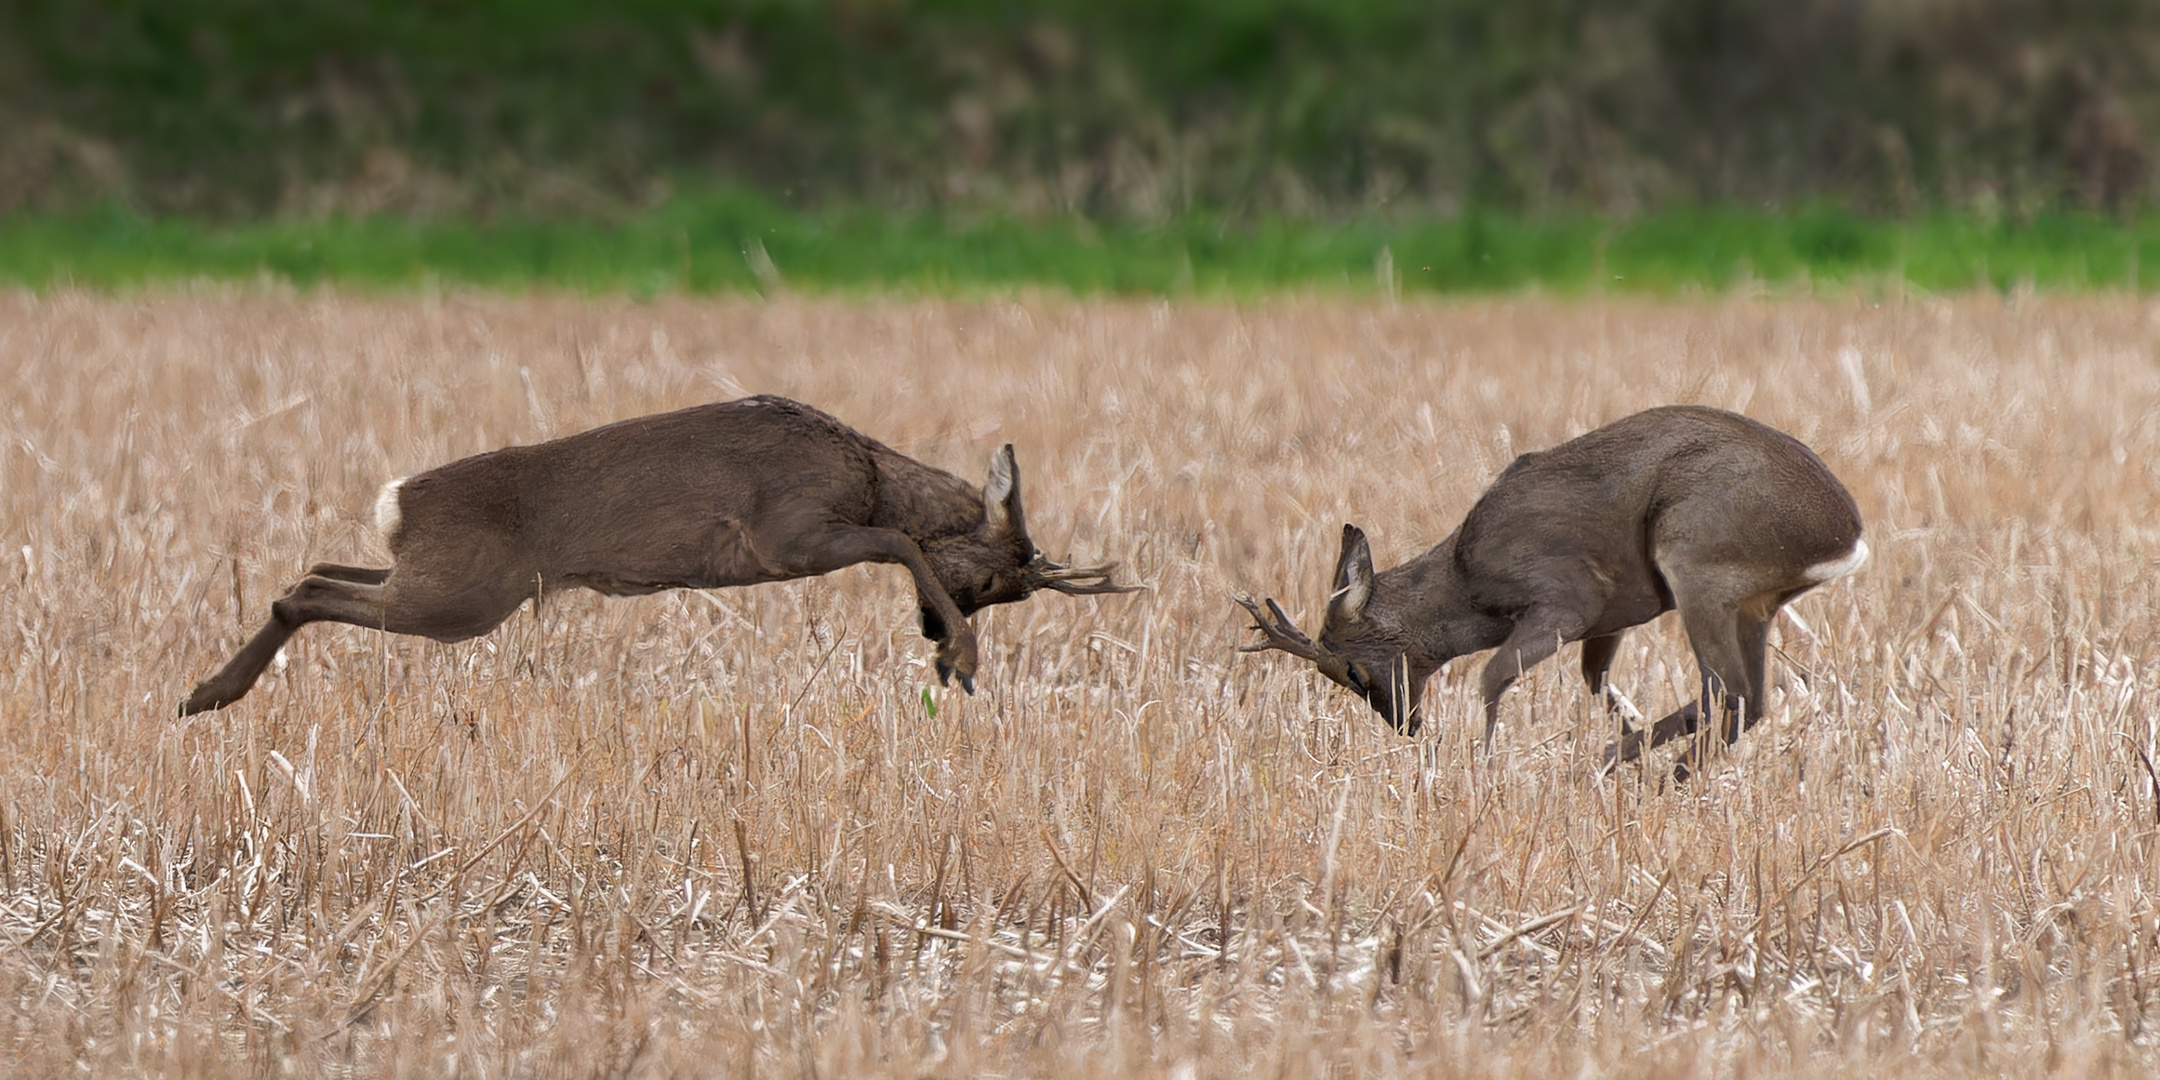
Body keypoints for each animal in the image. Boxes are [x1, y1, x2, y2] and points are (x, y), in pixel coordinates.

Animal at [181, 397, 1131, 717]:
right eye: (1000, 582)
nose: (937, 628)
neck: (865, 473)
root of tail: (398, 500)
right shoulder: (789, 532)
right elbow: (898, 541)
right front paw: (961, 663)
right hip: (462, 598)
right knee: (307, 587)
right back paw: (207, 695)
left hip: (446, 583)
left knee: (313, 572)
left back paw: (204, 693)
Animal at [1244, 406, 1866, 777]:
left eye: (1351, 671)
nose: (1407, 725)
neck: (1467, 587)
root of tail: (1847, 536)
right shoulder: (1615, 615)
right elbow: (1598, 683)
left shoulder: (1567, 597)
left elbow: (1492, 676)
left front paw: (1483, 770)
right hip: (1754, 603)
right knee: (1752, 699)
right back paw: (1640, 770)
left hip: (1695, 557)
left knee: (1729, 690)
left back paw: (1632, 769)